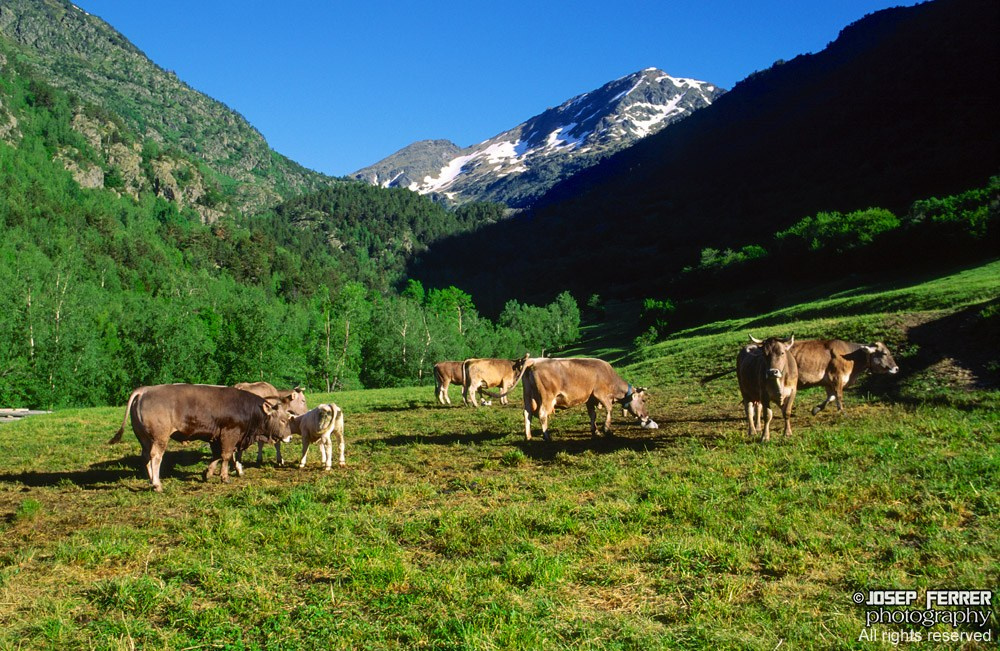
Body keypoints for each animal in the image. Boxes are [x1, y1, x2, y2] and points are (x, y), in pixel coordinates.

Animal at [108, 384, 295, 492]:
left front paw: (207, 473)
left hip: (144, 438)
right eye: (283, 420)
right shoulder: (230, 434)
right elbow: (226, 455)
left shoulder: (215, 436)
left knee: (146, 456)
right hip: (160, 438)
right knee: (155, 457)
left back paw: (150, 481)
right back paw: (157, 484)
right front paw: (224, 477)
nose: (290, 438)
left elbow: (217, 456)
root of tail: (144, 390)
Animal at [518, 358, 658, 441]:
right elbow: (609, 409)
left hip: (527, 396)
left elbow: (592, 414)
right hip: (546, 397)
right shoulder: (601, 394)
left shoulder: (590, 399)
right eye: (643, 400)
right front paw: (606, 429)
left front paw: (595, 430)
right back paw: (547, 436)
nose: (646, 416)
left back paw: (528, 436)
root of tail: (534, 361)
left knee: (527, 414)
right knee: (542, 414)